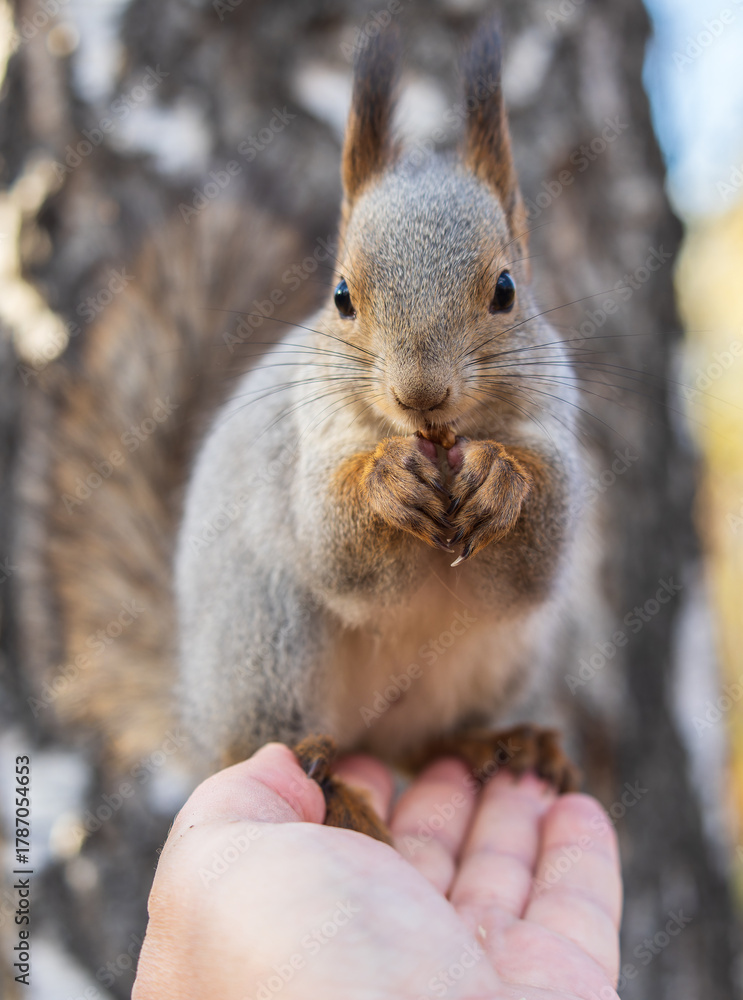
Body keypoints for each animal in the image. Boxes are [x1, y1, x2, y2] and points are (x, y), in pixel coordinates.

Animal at [174, 21, 586, 843]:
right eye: (340, 296)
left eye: (506, 289)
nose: (419, 396)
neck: (441, 444)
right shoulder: (307, 443)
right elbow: (341, 555)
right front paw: (385, 480)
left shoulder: (552, 421)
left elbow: (534, 557)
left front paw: (502, 478)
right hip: (264, 635)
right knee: (260, 742)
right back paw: (329, 787)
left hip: (502, 654)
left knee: (427, 742)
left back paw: (501, 742)